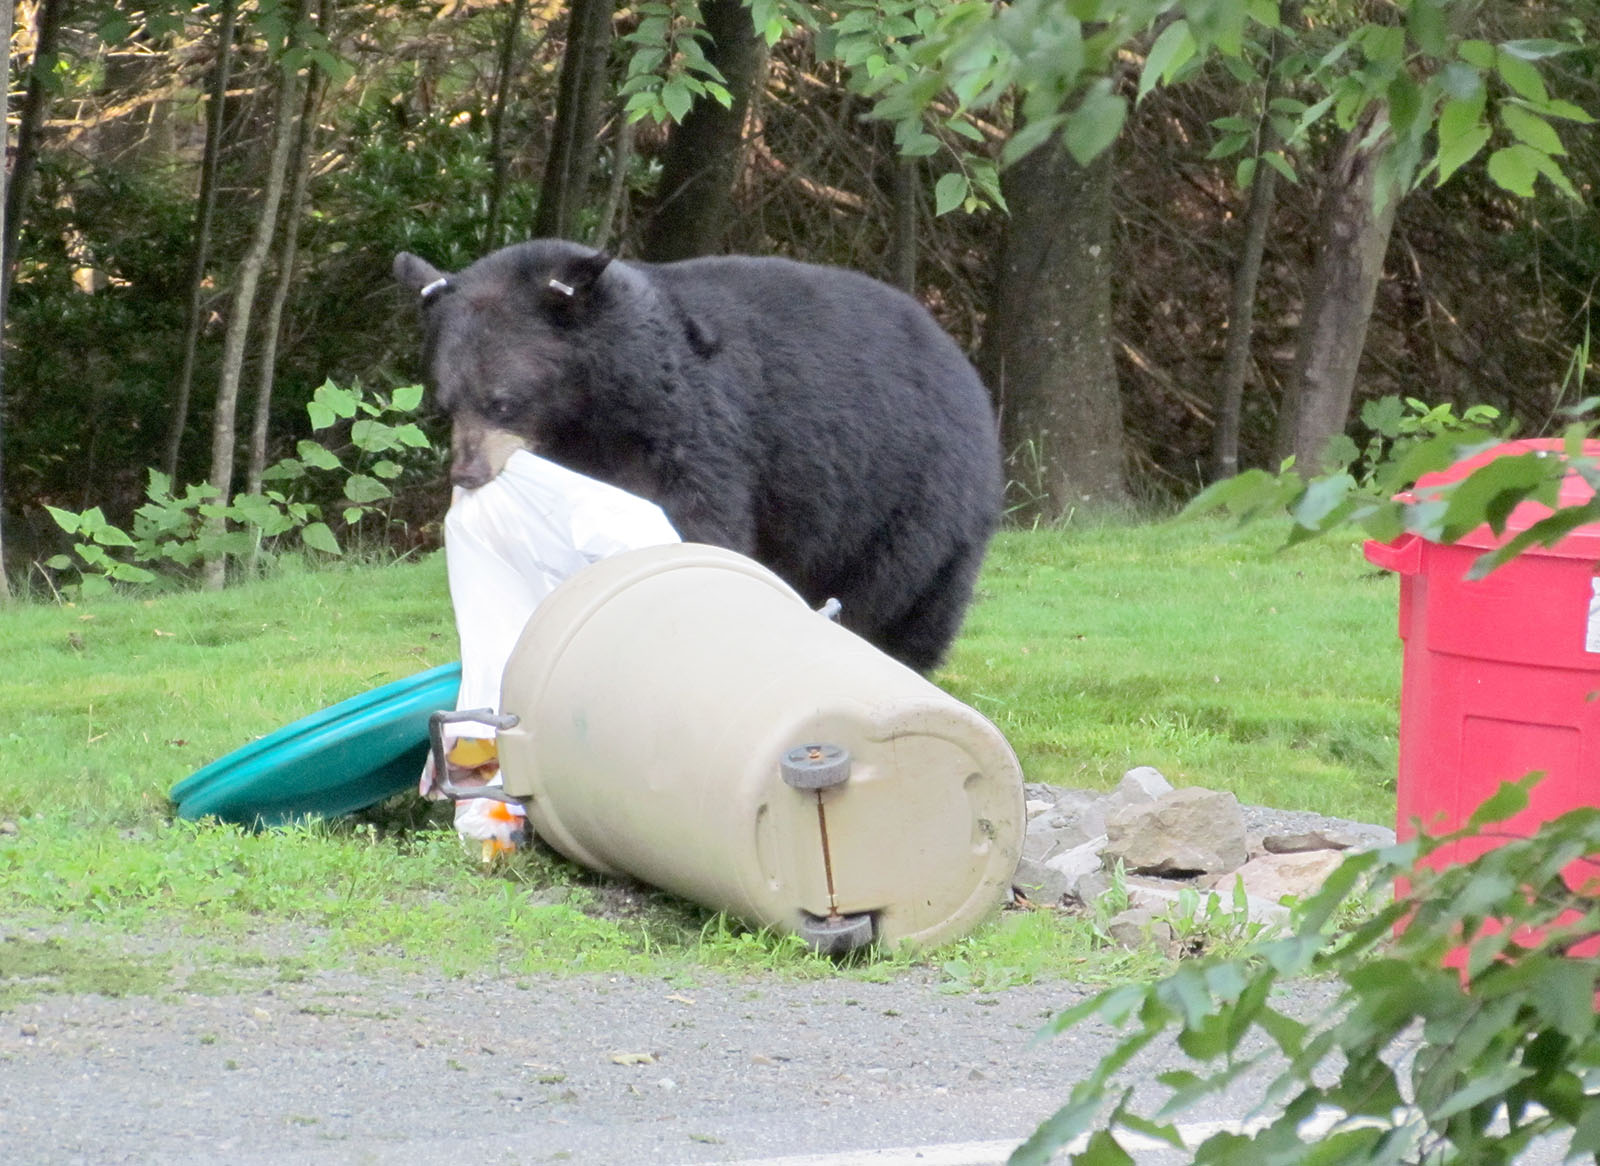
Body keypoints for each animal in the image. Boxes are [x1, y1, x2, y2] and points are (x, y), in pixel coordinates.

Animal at [393, 239, 1002, 673]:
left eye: (503, 401)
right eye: (445, 402)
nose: (468, 471)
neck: (598, 404)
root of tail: (963, 365)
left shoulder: (691, 424)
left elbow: (698, 515)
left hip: (912, 495)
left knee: (904, 596)